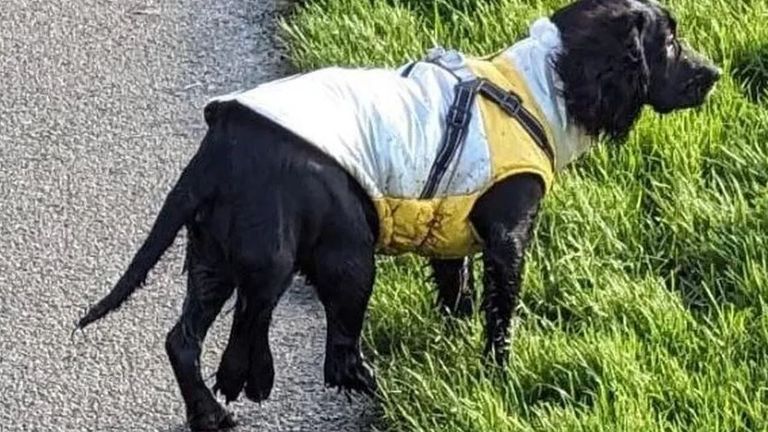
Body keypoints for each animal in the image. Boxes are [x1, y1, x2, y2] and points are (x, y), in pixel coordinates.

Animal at [78, 0, 720, 428]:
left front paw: (451, 347)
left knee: (184, 341)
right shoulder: (508, 239)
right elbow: (500, 318)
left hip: (213, 255)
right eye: (668, 43)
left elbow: (457, 297)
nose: (714, 75)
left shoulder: (455, 238)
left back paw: (212, 413)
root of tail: (219, 148)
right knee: (307, 350)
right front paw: (497, 376)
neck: (542, 89)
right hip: (329, 252)